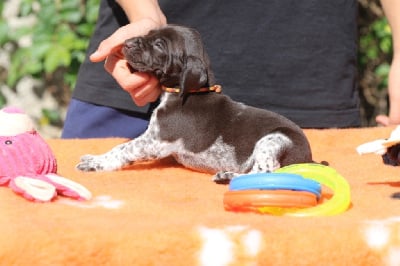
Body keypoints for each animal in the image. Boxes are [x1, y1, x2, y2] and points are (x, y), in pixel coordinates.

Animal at [75, 25, 312, 183]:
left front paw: (97, 163)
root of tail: (309, 159)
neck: (184, 91)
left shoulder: (154, 141)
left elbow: (123, 148)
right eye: (149, 34)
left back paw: (231, 177)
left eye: (159, 44)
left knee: (267, 171)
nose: (127, 43)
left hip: (273, 139)